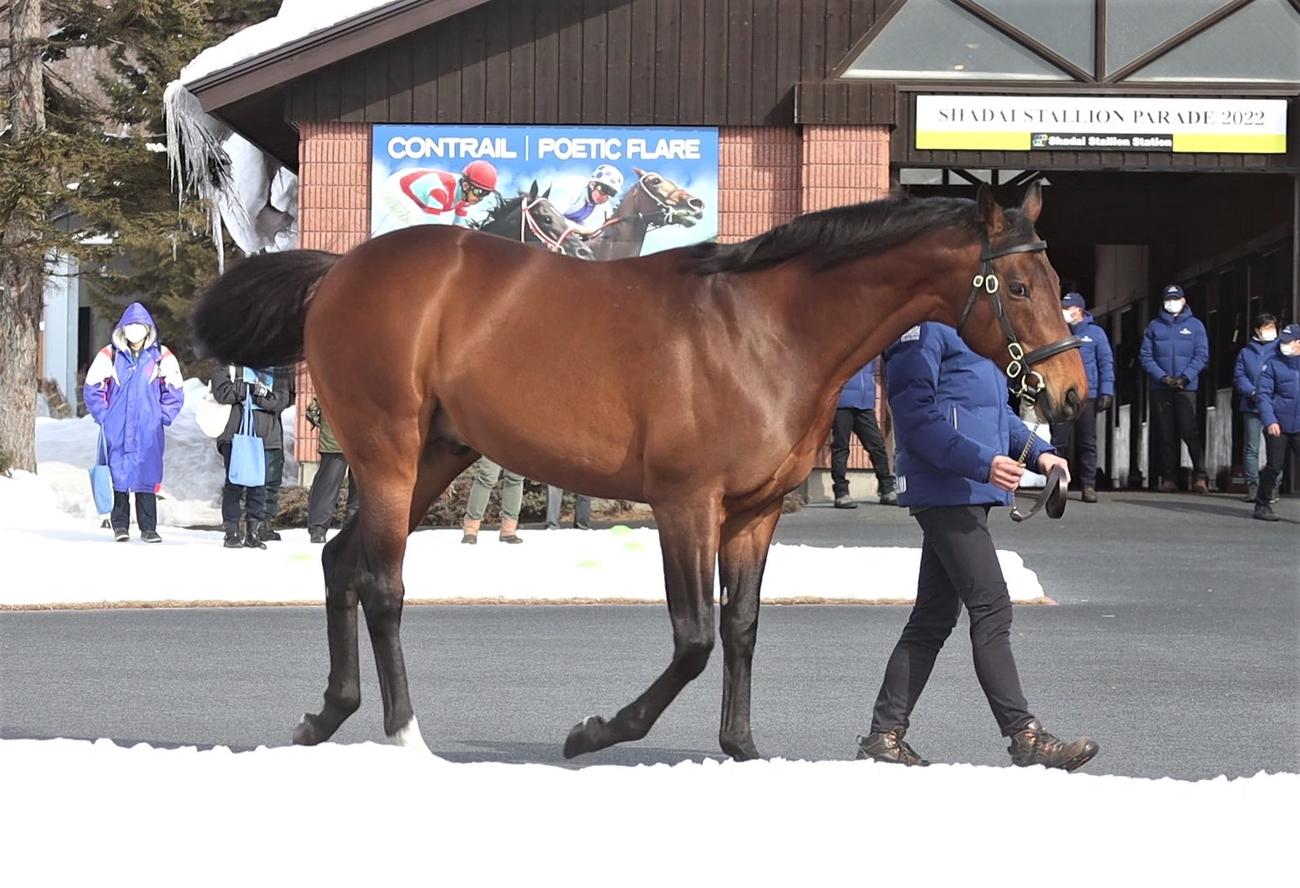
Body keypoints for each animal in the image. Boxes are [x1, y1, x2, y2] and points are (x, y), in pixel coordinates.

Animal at [193, 183, 1086, 761]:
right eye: (1015, 283)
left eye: (1052, 279)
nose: (1071, 390)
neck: (766, 328)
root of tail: (340, 273)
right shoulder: (686, 504)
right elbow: (693, 639)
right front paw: (595, 732)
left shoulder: (755, 513)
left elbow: (741, 627)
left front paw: (742, 747)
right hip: (387, 452)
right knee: (381, 583)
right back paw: (405, 734)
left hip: (438, 455)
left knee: (340, 561)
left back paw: (326, 716)